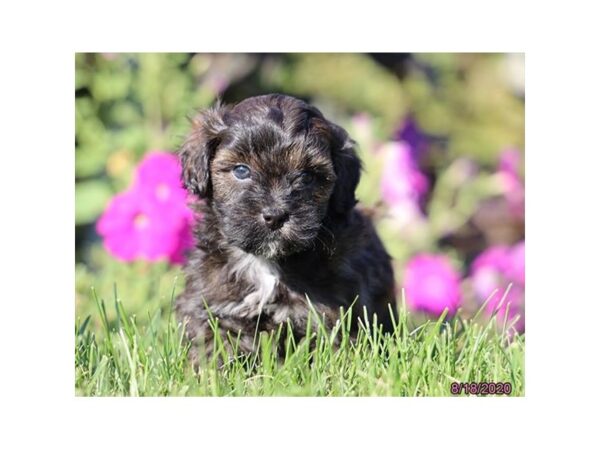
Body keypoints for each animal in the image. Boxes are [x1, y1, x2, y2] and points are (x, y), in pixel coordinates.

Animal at [176, 93, 396, 364]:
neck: (266, 263)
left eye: (307, 176)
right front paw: (210, 371)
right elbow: (212, 344)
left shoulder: (328, 314)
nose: (275, 216)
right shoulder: (211, 305)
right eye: (241, 170)